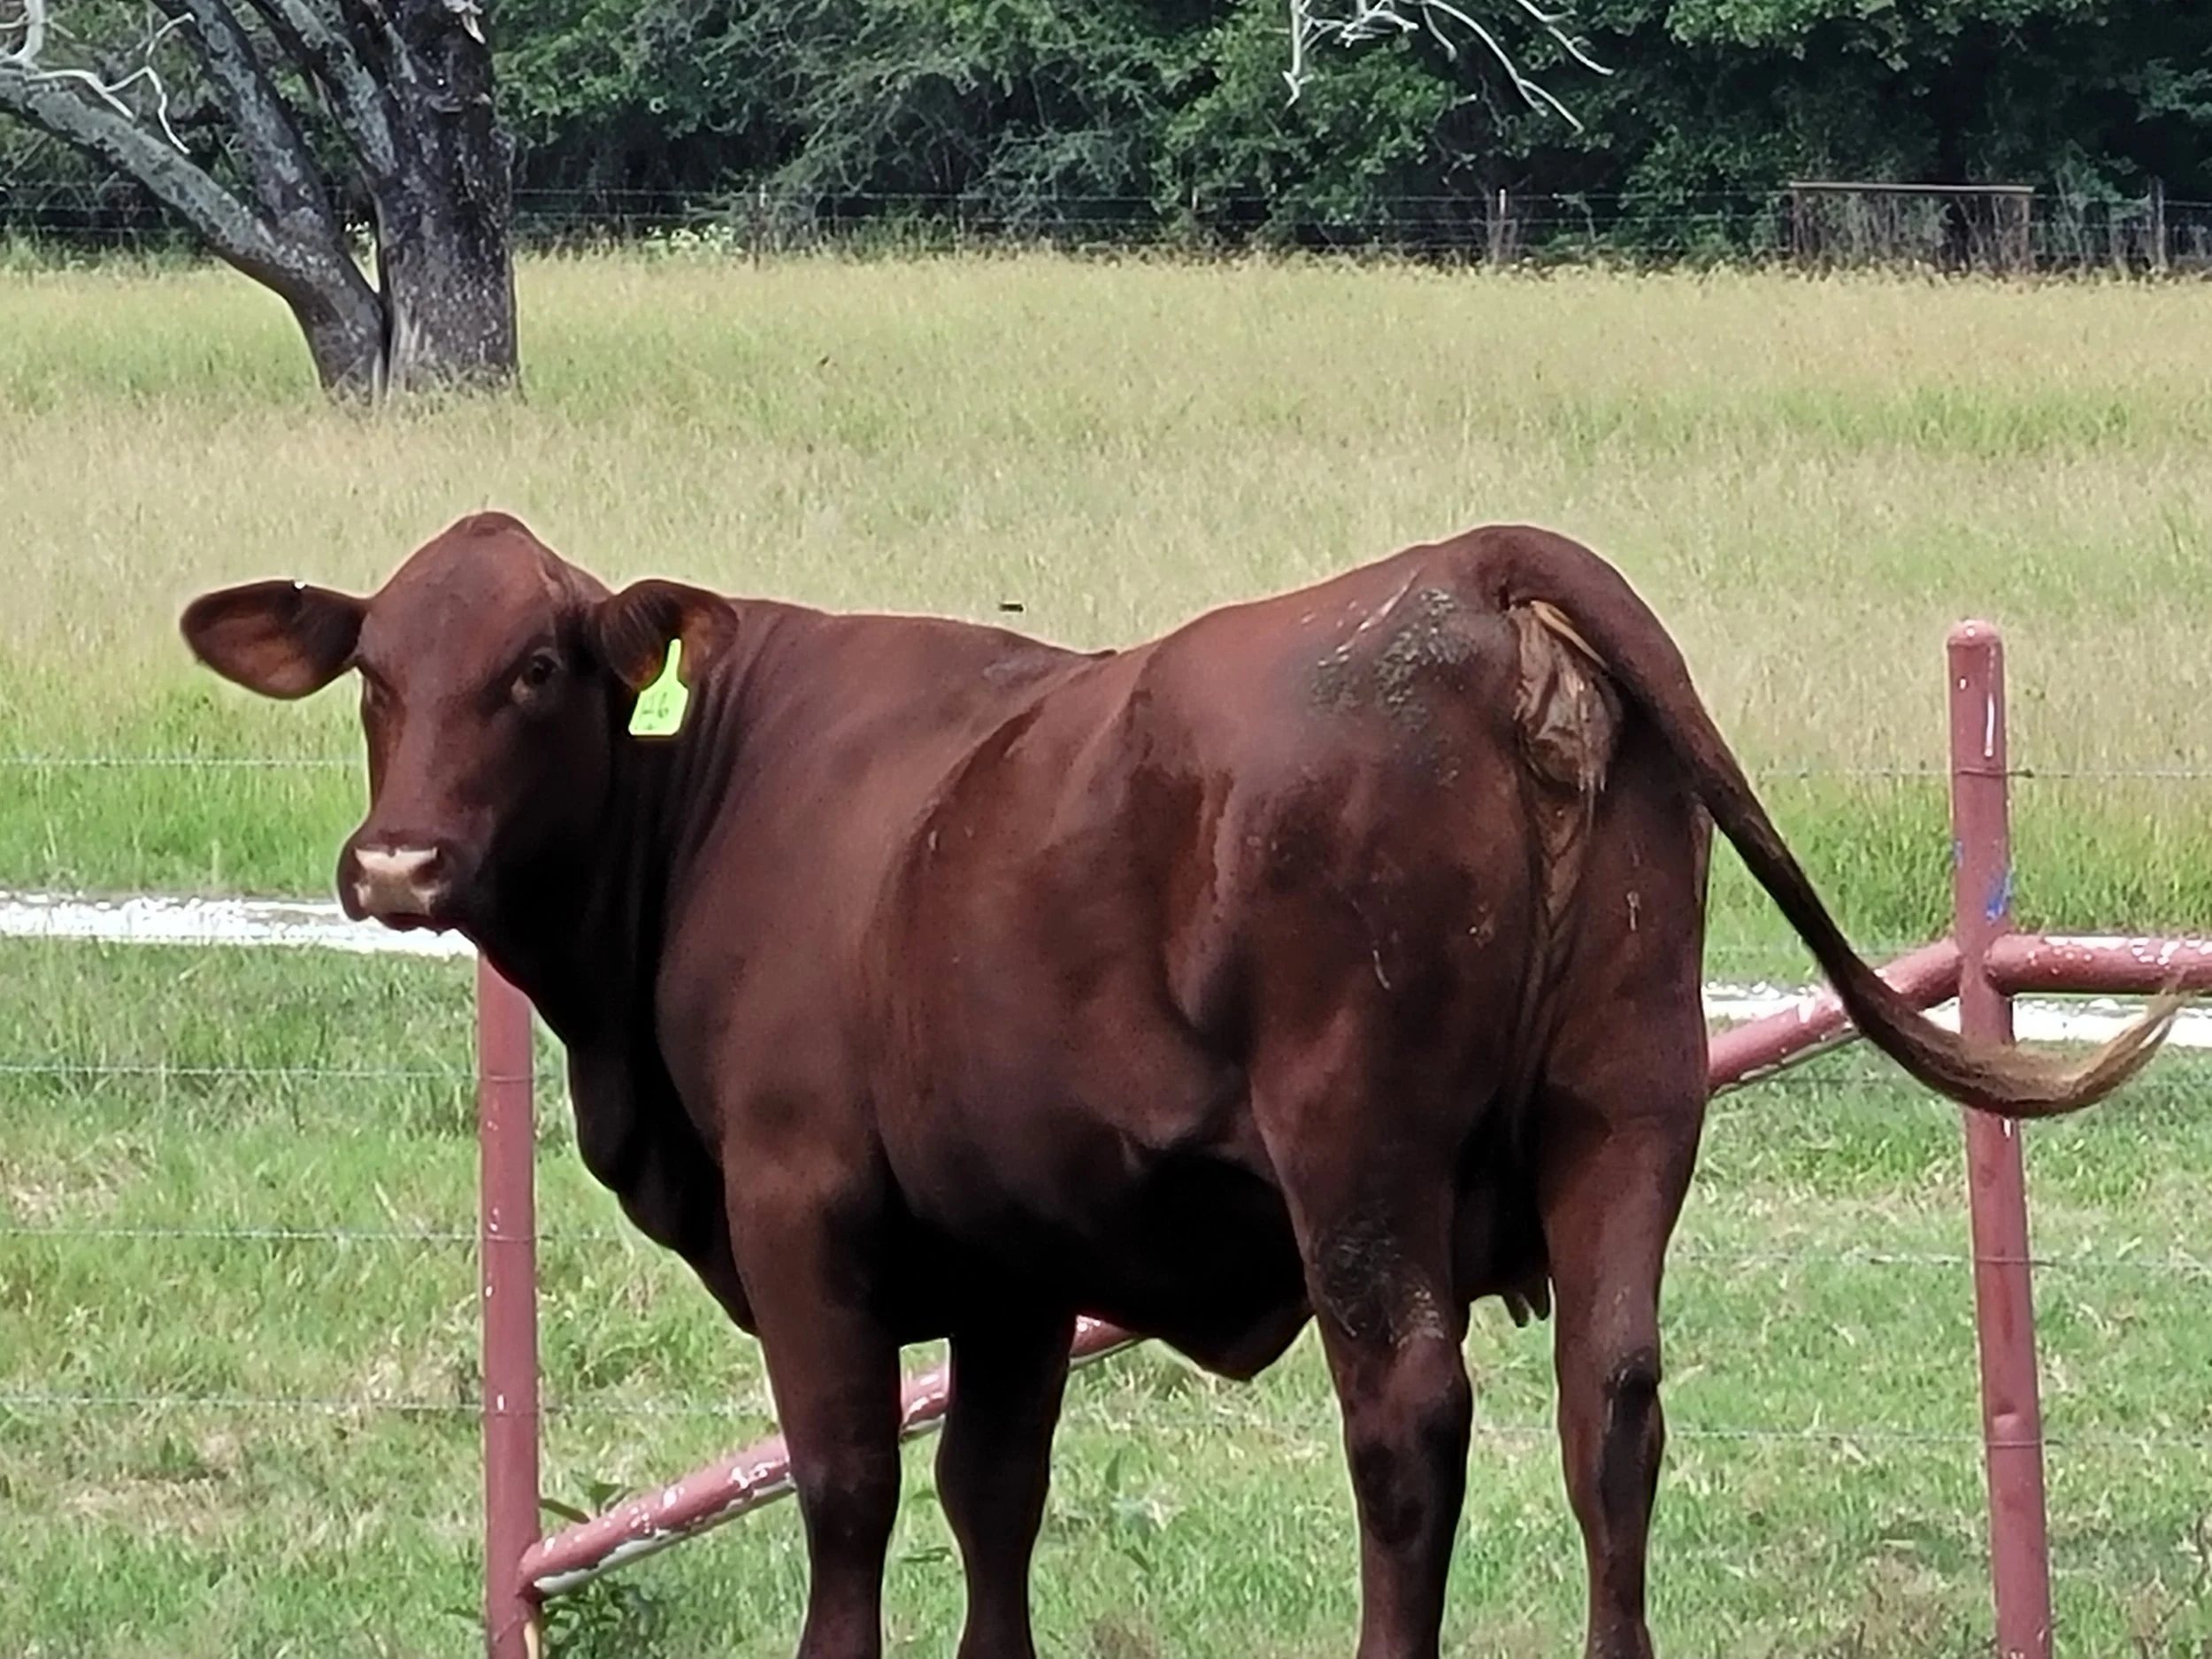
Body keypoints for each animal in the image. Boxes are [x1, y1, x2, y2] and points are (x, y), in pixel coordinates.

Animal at [179, 512, 2174, 1659]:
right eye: (373, 673)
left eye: (536, 668)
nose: (397, 865)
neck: (708, 818)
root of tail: (1467, 575)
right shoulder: (1004, 1261)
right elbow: (991, 1498)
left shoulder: (805, 1209)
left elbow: (848, 1494)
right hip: (1628, 1106)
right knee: (1609, 1412)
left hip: (1358, 1146)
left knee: (1409, 1425)